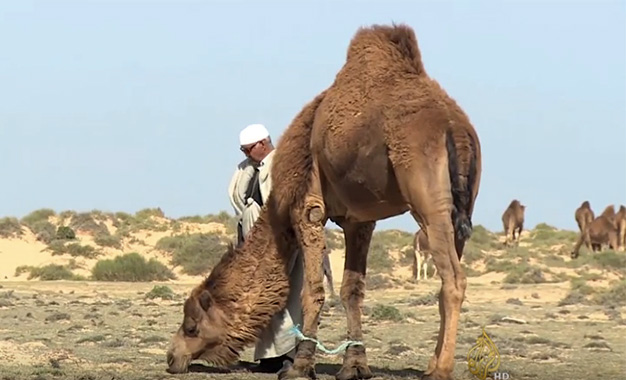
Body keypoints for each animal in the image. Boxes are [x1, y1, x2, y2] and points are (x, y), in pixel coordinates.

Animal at [163, 23, 480, 380]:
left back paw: (441, 369)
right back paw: (431, 363)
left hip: (426, 194)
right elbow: (351, 290)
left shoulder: (307, 208)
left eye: (192, 327)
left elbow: (312, 290)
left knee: (453, 279)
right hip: (464, 206)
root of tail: (454, 126)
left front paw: (299, 366)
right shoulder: (359, 221)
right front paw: (355, 367)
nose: (171, 357)